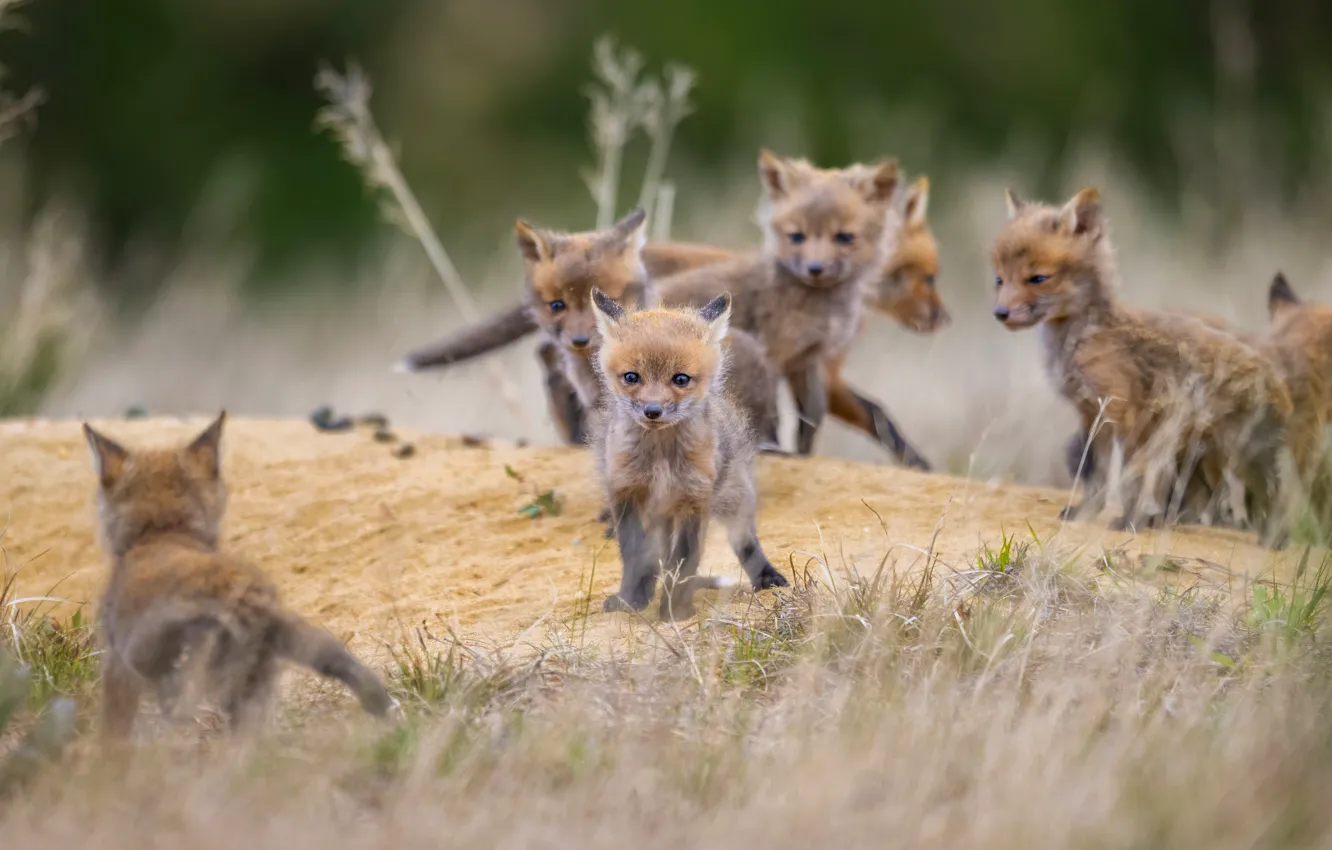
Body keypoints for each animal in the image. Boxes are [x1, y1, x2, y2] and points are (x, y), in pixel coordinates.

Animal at [83, 412, 393, 737]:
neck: (164, 534)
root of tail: (243, 596)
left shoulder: (117, 667)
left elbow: (112, 735)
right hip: (258, 683)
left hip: (191, 686)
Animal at [591, 288, 789, 620]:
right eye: (631, 377)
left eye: (680, 379)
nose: (652, 411)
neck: (661, 457)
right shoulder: (627, 493)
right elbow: (635, 557)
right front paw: (631, 600)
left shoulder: (694, 498)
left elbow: (684, 562)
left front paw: (675, 610)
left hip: (735, 500)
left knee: (745, 541)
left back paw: (767, 577)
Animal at [993, 187, 1291, 541]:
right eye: (999, 279)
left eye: (1037, 278)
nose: (999, 313)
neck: (1084, 339)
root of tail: (1281, 384)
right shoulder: (1092, 415)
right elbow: (1096, 478)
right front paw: (1087, 513)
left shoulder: (1124, 414)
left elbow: (1131, 480)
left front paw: (1129, 521)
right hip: (1202, 455)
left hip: (1237, 458)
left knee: (1275, 500)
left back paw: (1273, 540)